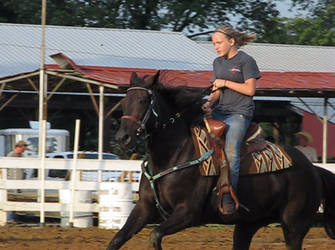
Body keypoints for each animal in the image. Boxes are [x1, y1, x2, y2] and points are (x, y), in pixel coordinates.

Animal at [108, 71, 335, 249]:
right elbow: (117, 239)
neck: (174, 154)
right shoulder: (144, 208)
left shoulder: (187, 213)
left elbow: (154, 236)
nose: (122, 137)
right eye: (124, 102)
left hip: (293, 228)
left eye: (143, 101)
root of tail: (313, 169)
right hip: (247, 225)